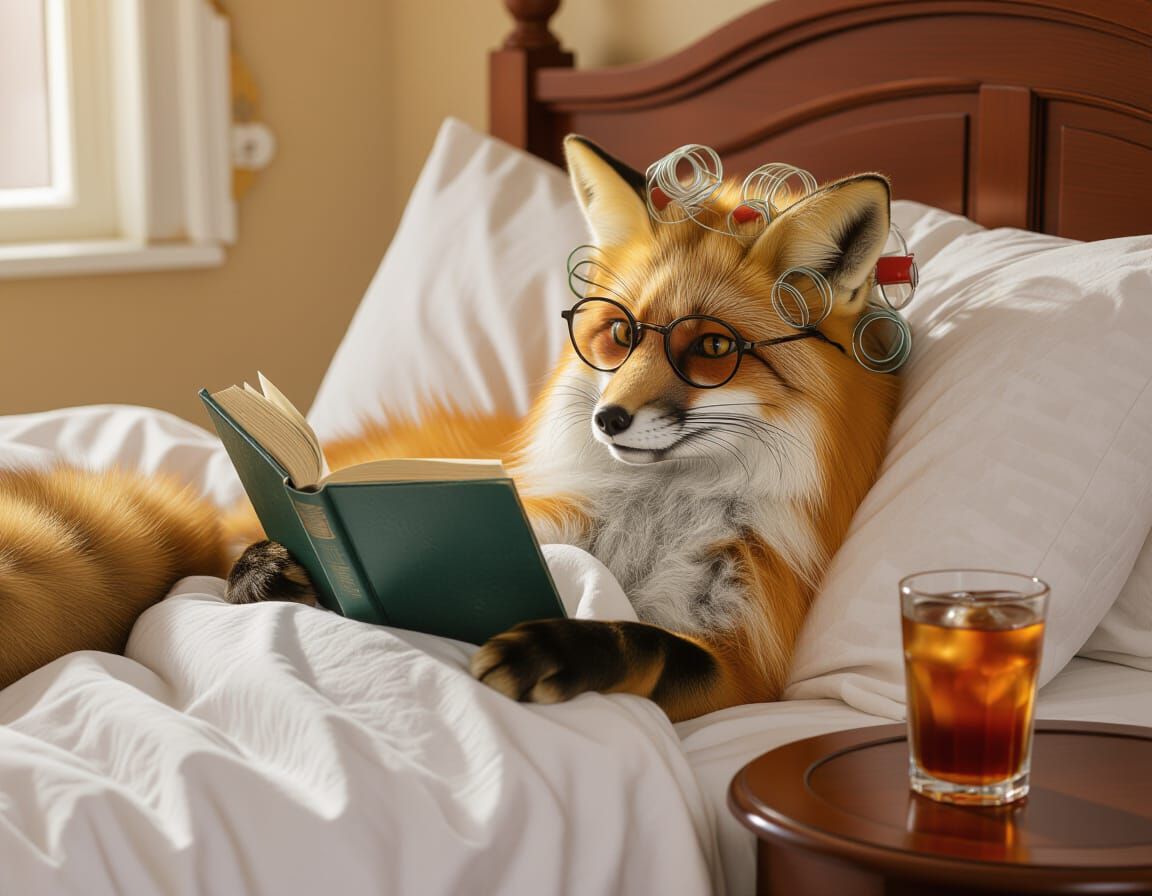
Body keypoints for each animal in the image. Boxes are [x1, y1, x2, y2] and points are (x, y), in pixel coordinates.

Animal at [0, 137, 899, 721]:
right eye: (617, 334)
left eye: (712, 349)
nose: (609, 416)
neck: (650, 522)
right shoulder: (539, 528)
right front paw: (273, 571)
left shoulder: (741, 670)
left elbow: (645, 641)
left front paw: (560, 648)